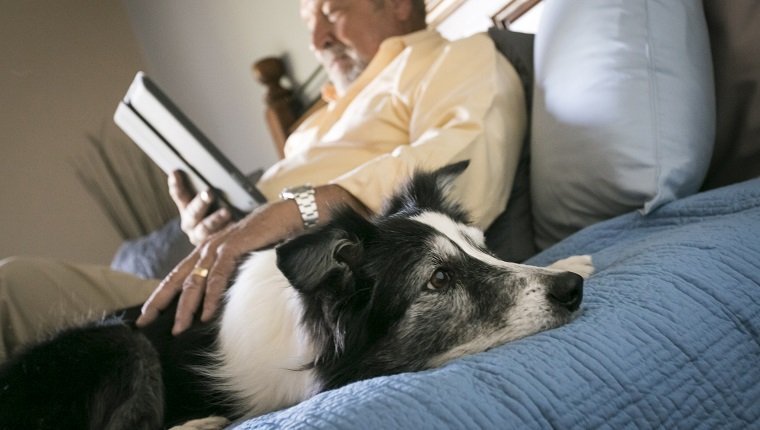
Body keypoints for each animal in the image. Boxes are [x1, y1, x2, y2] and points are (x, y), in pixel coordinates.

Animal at [0, 162, 592, 430]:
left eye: (483, 247)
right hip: (122, 341)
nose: (571, 292)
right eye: (439, 280)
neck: (308, 325)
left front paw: (567, 260)